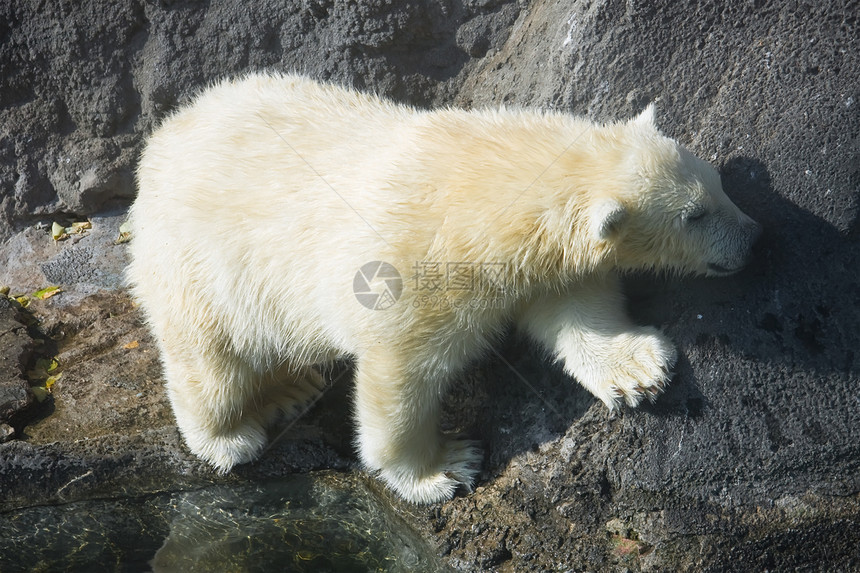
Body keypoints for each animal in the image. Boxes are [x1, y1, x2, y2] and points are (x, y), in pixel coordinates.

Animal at [127, 71, 760, 500]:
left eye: (717, 181)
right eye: (695, 215)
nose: (753, 238)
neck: (482, 189)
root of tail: (162, 139)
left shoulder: (537, 262)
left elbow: (575, 306)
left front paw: (638, 371)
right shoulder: (414, 275)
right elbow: (400, 378)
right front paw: (443, 469)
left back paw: (292, 387)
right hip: (200, 265)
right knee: (209, 360)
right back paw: (231, 436)